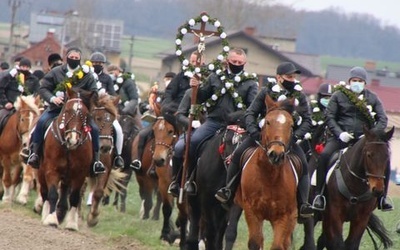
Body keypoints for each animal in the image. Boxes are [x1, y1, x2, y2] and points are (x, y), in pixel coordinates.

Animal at [37, 88, 97, 230]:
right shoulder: (52, 170)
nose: (72, 139)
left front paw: (72, 224)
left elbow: (74, 197)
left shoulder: (79, 174)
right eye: (67, 110)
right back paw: (45, 215)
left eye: (86, 114)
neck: (68, 149)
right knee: (45, 193)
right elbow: (53, 195)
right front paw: (51, 219)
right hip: (41, 172)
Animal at [234, 94, 300, 249]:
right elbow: (255, 242)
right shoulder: (252, 211)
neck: (269, 176)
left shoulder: (283, 216)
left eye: (291, 125)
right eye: (268, 122)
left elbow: (277, 245)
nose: (276, 154)